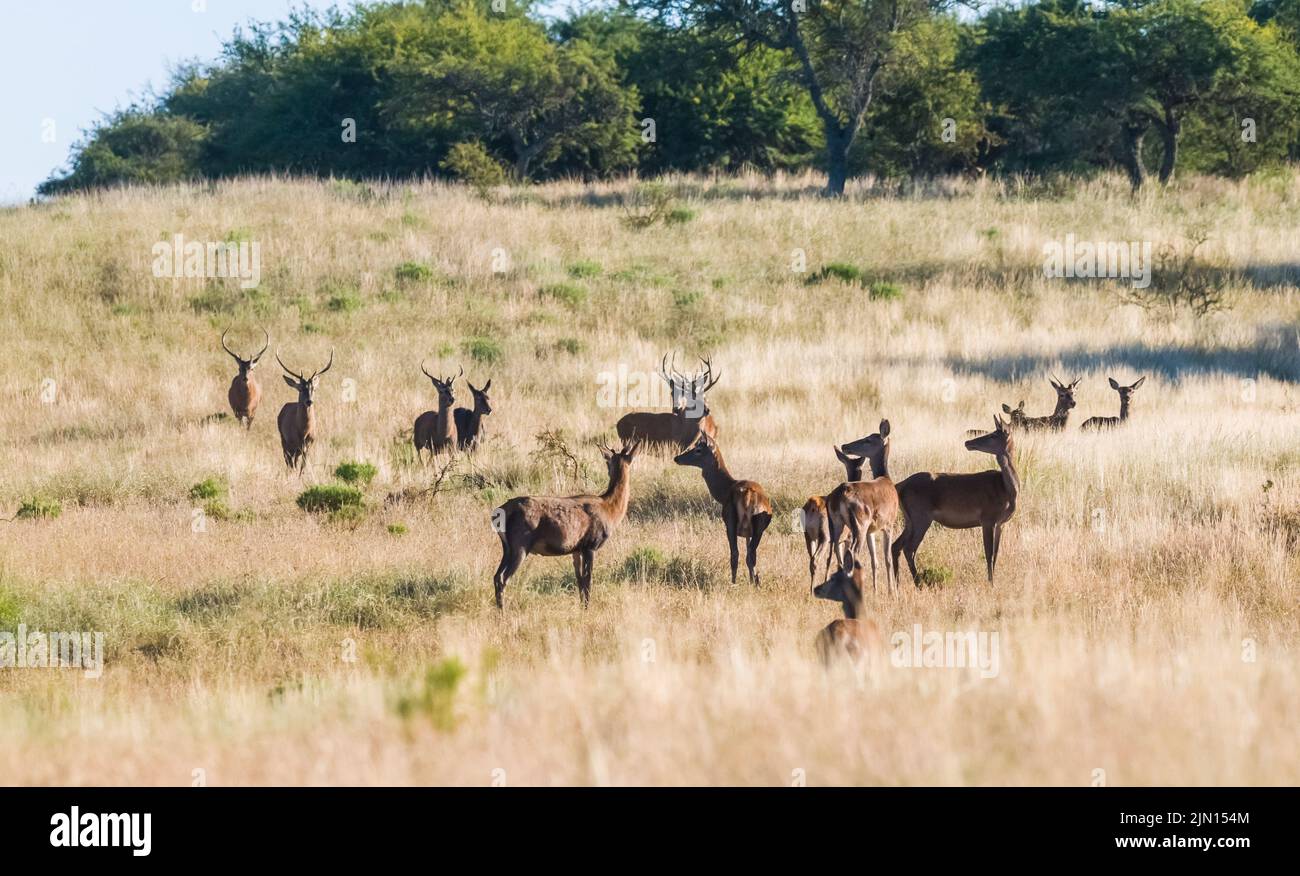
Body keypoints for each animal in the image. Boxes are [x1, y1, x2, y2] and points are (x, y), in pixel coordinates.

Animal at [492, 438, 641, 609]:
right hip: (520, 543)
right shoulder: (590, 545)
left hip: (507, 547)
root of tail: (500, 512)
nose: (609, 471)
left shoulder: (576, 549)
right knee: (503, 578)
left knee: (496, 576)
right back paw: (503, 611)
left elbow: (579, 581)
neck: (610, 509)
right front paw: (587, 609)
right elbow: (588, 581)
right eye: (607, 463)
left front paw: (582, 607)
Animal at [673, 432, 772, 586]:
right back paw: (755, 582)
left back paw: (733, 583)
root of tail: (748, 495)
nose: (677, 458)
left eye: (698, 449)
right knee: (751, 554)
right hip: (759, 525)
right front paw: (751, 579)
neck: (724, 491)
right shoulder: (748, 533)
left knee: (735, 553)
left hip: (730, 520)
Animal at [801, 446, 867, 588]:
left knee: (811, 559)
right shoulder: (846, 539)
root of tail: (813, 505)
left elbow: (832, 560)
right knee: (815, 560)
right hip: (824, 537)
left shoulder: (837, 541)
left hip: (809, 536)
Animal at [825, 420, 900, 594]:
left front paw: (875, 590)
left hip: (838, 523)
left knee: (835, 550)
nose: (845, 445)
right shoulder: (889, 523)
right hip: (860, 523)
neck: (887, 479)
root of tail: (840, 494)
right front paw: (892, 592)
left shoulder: (871, 530)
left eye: (868, 440)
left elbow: (875, 560)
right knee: (853, 554)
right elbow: (887, 558)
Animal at [888, 416, 1019, 586]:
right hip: (921, 516)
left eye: (993, 435)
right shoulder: (987, 519)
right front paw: (991, 584)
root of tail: (899, 486)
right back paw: (918, 584)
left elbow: (995, 554)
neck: (1007, 489)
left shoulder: (1000, 523)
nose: (968, 442)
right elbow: (988, 554)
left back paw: (897, 584)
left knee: (896, 546)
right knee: (909, 548)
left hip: (909, 519)